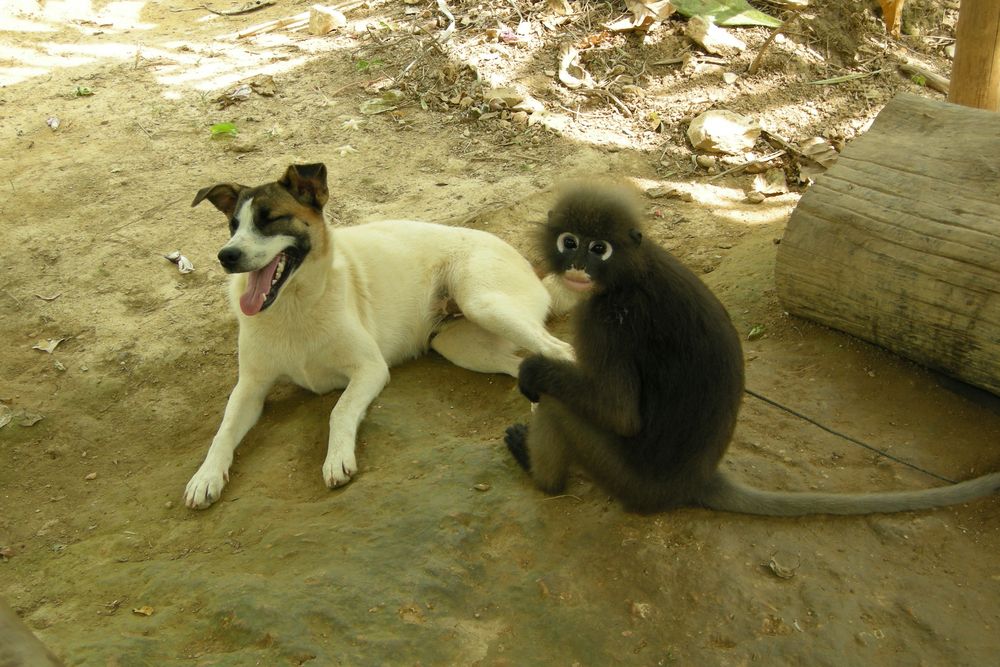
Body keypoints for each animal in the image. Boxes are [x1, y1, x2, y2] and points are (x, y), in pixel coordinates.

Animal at [184, 164, 576, 508]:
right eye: (233, 225)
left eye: (271, 219)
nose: (226, 256)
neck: (293, 308)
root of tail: (529, 266)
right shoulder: (250, 386)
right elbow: (224, 429)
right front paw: (205, 477)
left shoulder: (369, 368)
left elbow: (339, 411)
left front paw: (337, 459)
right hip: (457, 344)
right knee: (523, 360)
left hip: (484, 305)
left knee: (562, 350)